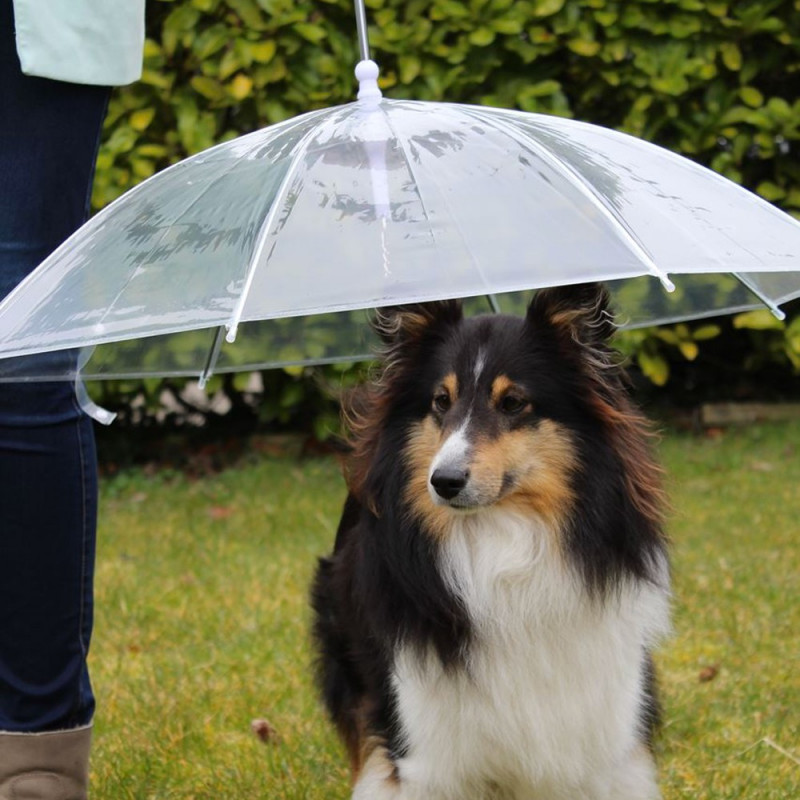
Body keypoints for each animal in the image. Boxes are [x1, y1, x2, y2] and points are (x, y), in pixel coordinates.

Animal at [310, 284, 668, 796]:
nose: (443, 482)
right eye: (441, 401)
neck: (501, 539)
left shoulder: (603, 721)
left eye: (513, 403)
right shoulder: (425, 746)